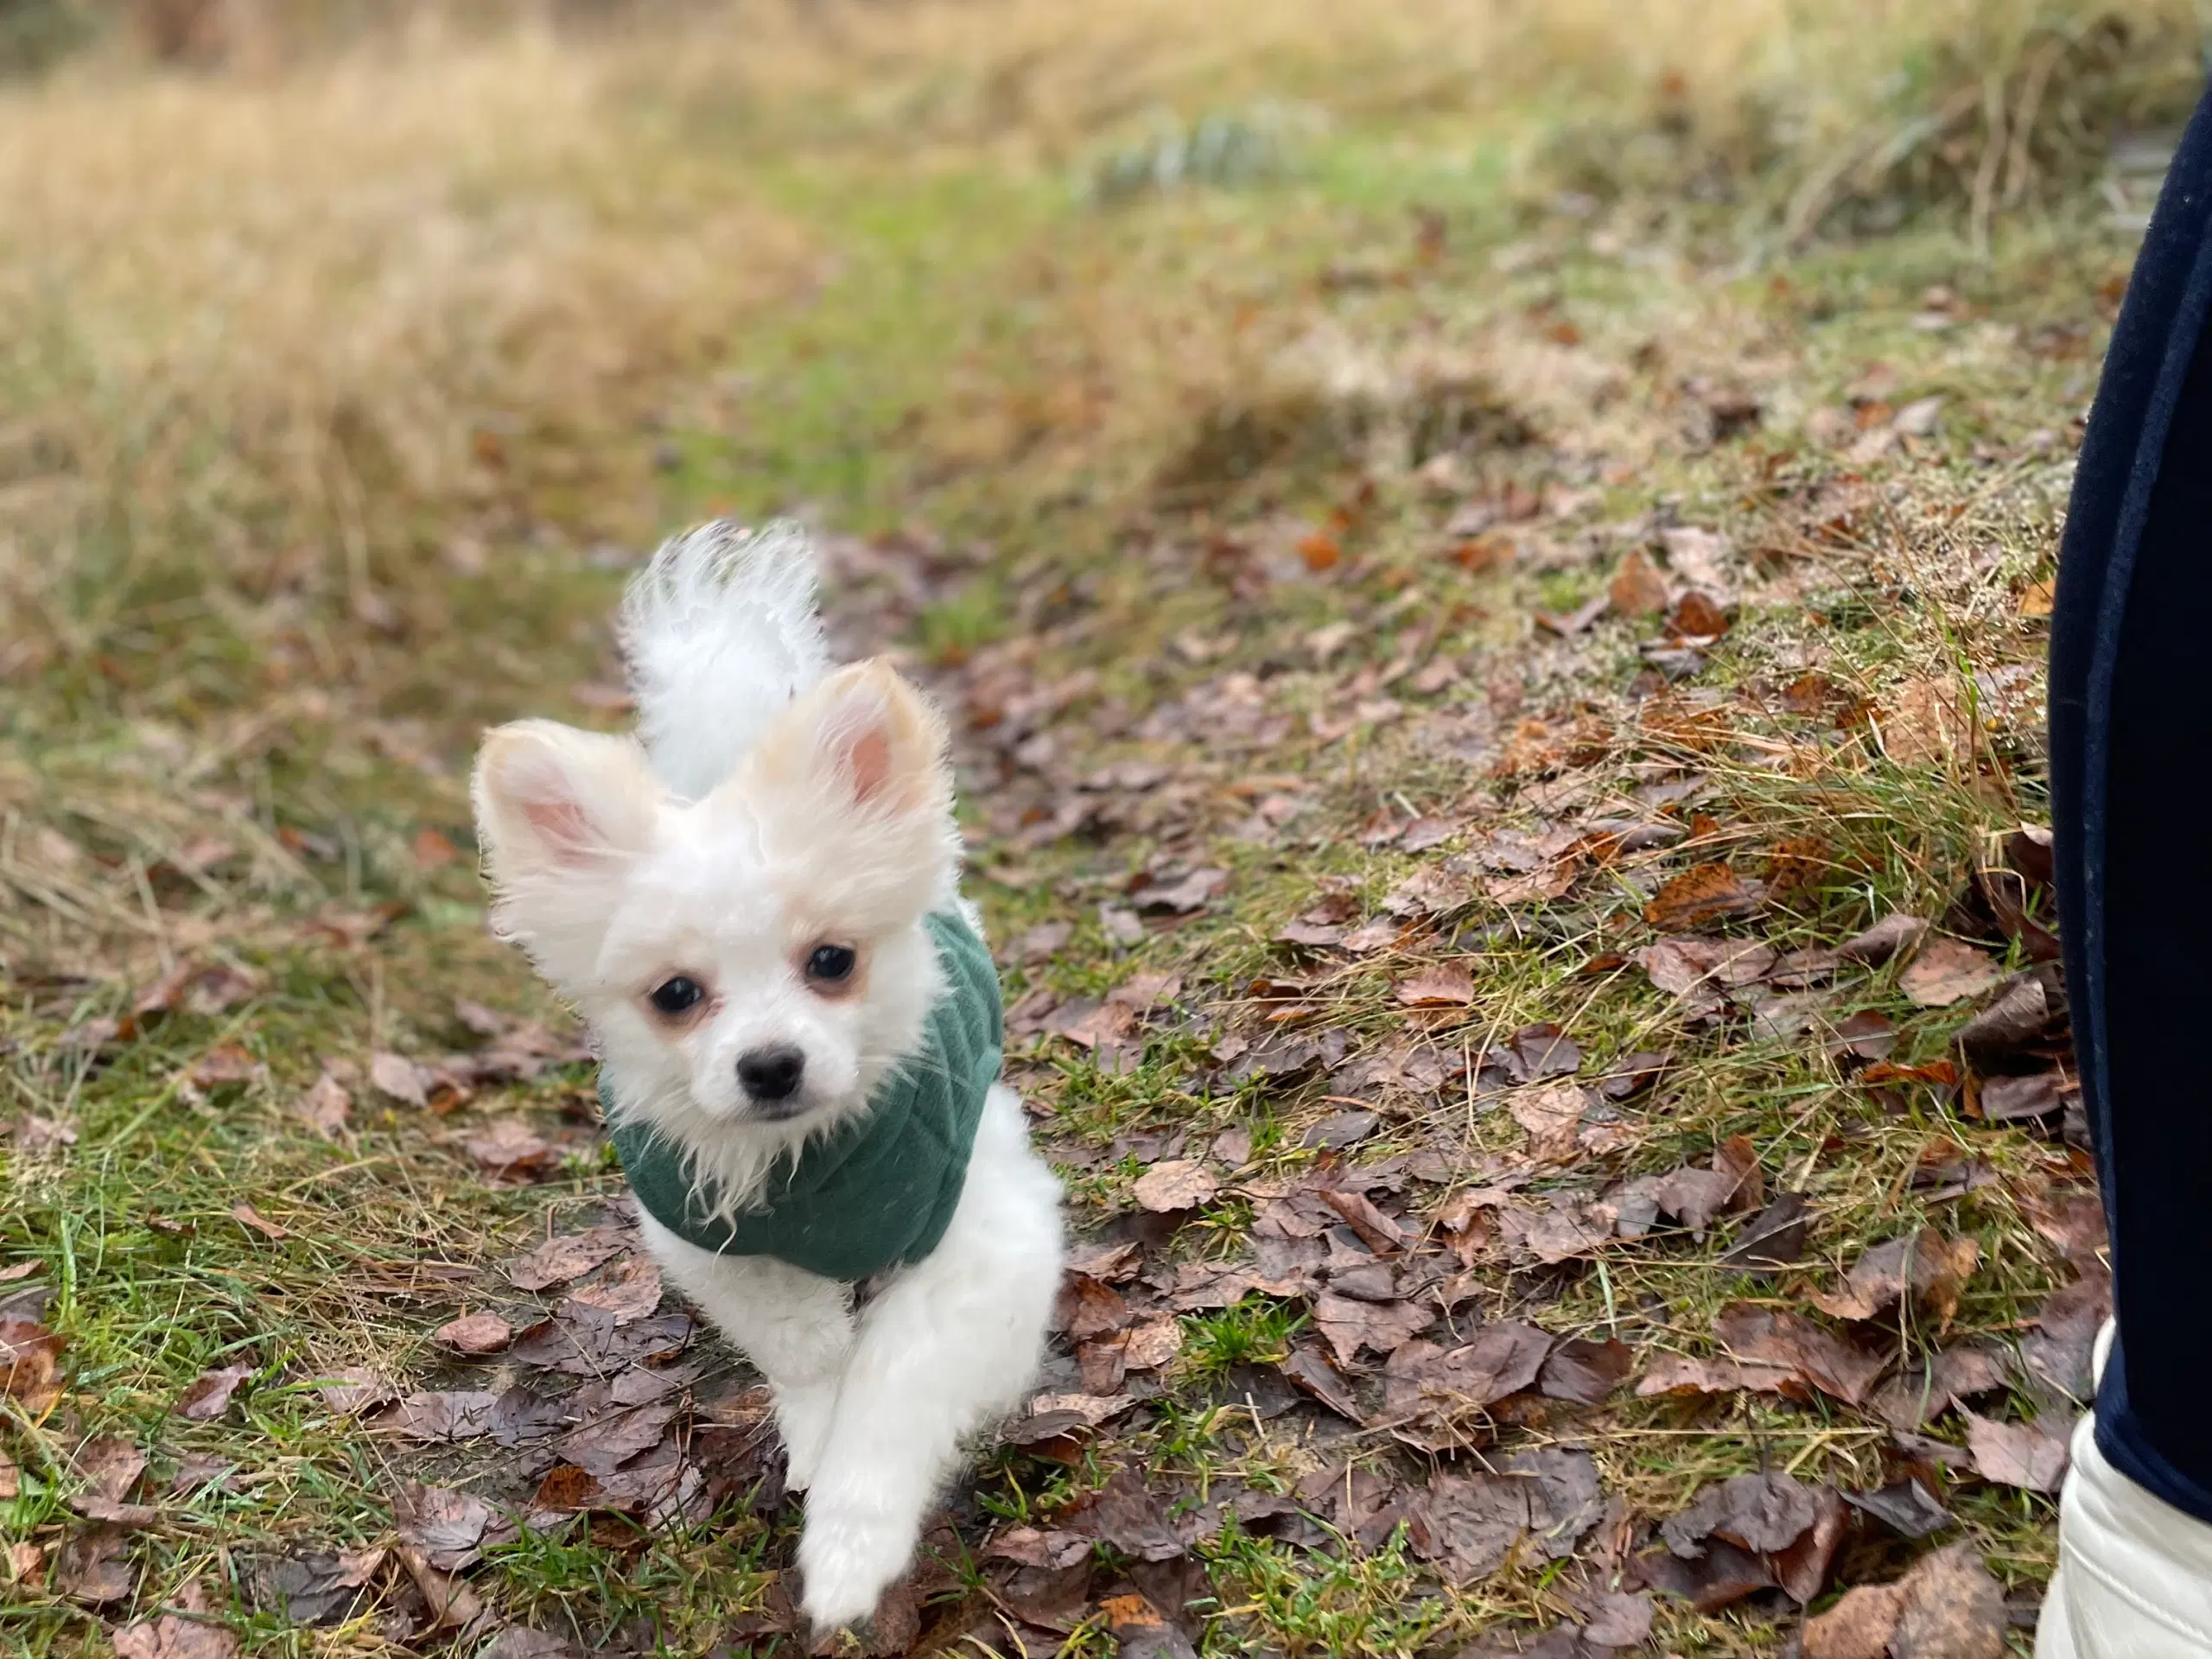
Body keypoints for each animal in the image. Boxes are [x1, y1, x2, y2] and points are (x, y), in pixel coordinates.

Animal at [475, 522, 1071, 1637]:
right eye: (675, 995)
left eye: (831, 961)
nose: (769, 1064)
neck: (809, 1161)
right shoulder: (708, 1241)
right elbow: (805, 1353)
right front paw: (814, 1441)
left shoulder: (982, 1246)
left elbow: (896, 1379)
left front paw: (852, 1544)